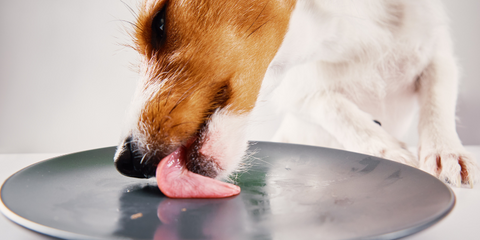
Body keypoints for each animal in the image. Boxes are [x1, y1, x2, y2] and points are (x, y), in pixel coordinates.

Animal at [114, 0, 478, 198]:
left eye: (159, 24)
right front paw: (389, 150)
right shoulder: (301, 91)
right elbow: (334, 107)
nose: (123, 162)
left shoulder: (437, 53)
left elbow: (437, 103)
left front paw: (446, 153)